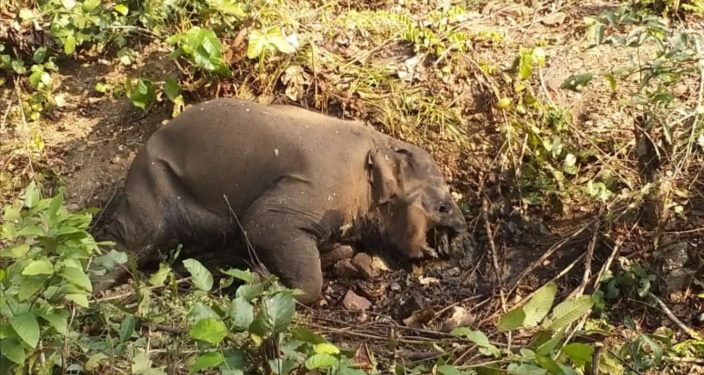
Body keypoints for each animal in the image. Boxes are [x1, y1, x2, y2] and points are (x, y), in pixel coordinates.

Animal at [93, 97, 468, 306]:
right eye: (443, 207)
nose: (462, 228)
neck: (381, 144)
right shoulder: (321, 184)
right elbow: (263, 224)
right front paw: (268, 284)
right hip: (150, 187)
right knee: (131, 241)